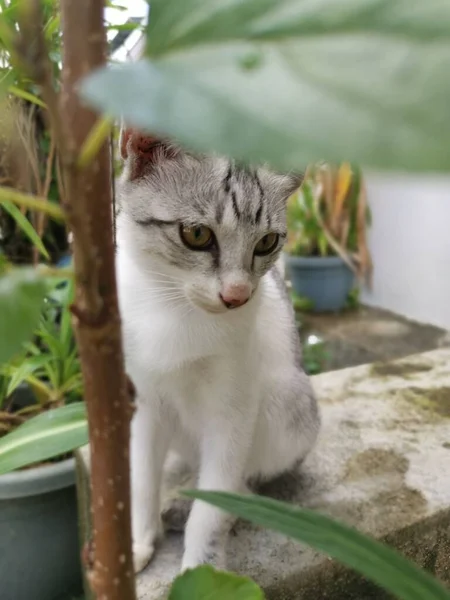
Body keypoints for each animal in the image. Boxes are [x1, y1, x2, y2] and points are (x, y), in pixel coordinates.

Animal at [116, 129, 320, 576]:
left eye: (267, 242)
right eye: (196, 234)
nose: (237, 295)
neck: (172, 307)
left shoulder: (234, 410)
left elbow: (214, 505)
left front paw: (201, 571)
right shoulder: (144, 402)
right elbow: (140, 478)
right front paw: (137, 541)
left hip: (289, 403)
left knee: (244, 483)